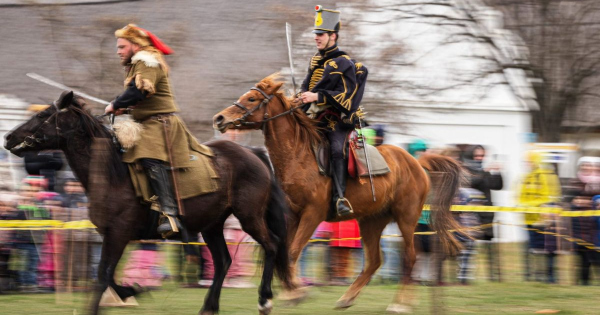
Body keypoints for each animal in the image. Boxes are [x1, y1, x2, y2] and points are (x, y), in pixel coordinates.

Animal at [4, 91, 296, 315]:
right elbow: (106, 275)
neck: (111, 174)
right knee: (223, 261)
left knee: (271, 245)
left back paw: (264, 300)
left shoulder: (118, 234)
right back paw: (208, 307)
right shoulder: (110, 235)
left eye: (43, 115)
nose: (8, 137)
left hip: (249, 217)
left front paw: (122, 294)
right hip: (212, 225)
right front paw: (132, 290)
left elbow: (103, 276)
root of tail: (253, 153)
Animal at [214, 74, 464, 314]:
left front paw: (295, 293)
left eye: (252, 99)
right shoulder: (292, 215)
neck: (298, 156)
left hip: (406, 218)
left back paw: (400, 304)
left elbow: (293, 251)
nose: (219, 119)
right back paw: (347, 298)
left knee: (410, 257)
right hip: (372, 220)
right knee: (374, 261)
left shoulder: (312, 214)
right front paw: (291, 293)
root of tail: (417, 163)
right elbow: (285, 253)